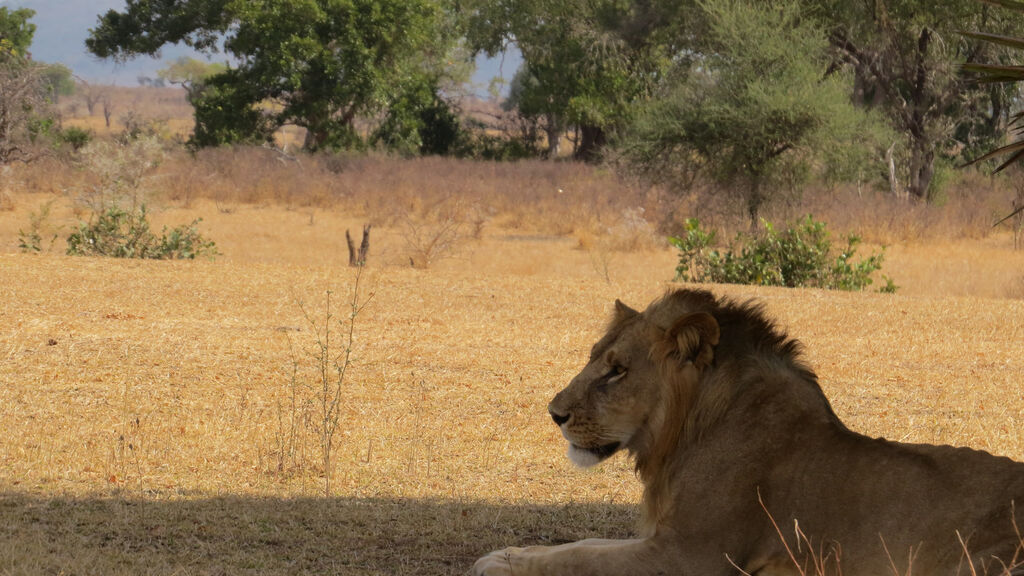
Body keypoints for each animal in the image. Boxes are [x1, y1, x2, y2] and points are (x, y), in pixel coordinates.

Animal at [471, 289, 1024, 569]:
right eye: (594, 359)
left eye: (617, 370)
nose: (554, 413)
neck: (681, 437)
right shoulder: (662, 536)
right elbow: (580, 545)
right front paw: (506, 553)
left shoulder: (690, 556)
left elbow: (579, 560)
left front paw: (499, 565)